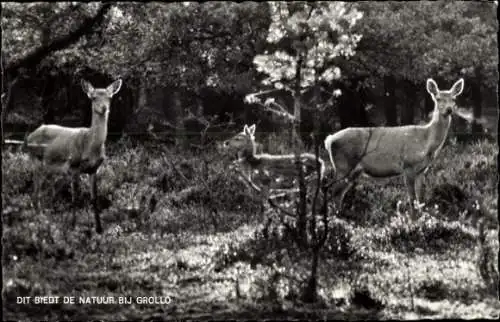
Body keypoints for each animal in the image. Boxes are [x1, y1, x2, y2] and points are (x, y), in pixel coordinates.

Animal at [6, 78, 123, 234]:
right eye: (93, 97)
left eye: (109, 97)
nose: (104, 108)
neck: (90, 145)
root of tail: (29, 136)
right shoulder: (73, 166)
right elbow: (75, 198)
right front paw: (73, 226)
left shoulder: (94, 169)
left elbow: (94, 198)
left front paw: (99, 229)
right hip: (35, 159)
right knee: (35, 191)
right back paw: (38, 221)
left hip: (47, 167)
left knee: (44, 191)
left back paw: (44, 217)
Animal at [324, 78, 464, 219]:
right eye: (438, 98)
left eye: (454, 99)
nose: (449, 110)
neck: (426, 142)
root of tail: (329, 140)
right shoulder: (408, 165)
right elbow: (412, 199)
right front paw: (413, 221)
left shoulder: (422, 170)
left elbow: (420, 199)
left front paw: (422, 218)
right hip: (343, 165)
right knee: (331, 191)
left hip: (352, 171)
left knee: (339, 194)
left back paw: (339, 216)